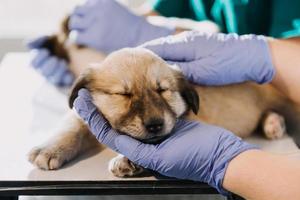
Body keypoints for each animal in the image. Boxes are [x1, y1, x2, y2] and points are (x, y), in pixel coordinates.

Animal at [29, 47, 300, 177]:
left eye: (162, 90)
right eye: (123, 94)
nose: (155, 125)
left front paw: (129, 160)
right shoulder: (84, 116)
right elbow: (71, 128)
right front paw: (49, 149)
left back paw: (274, 124)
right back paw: (273, 124)